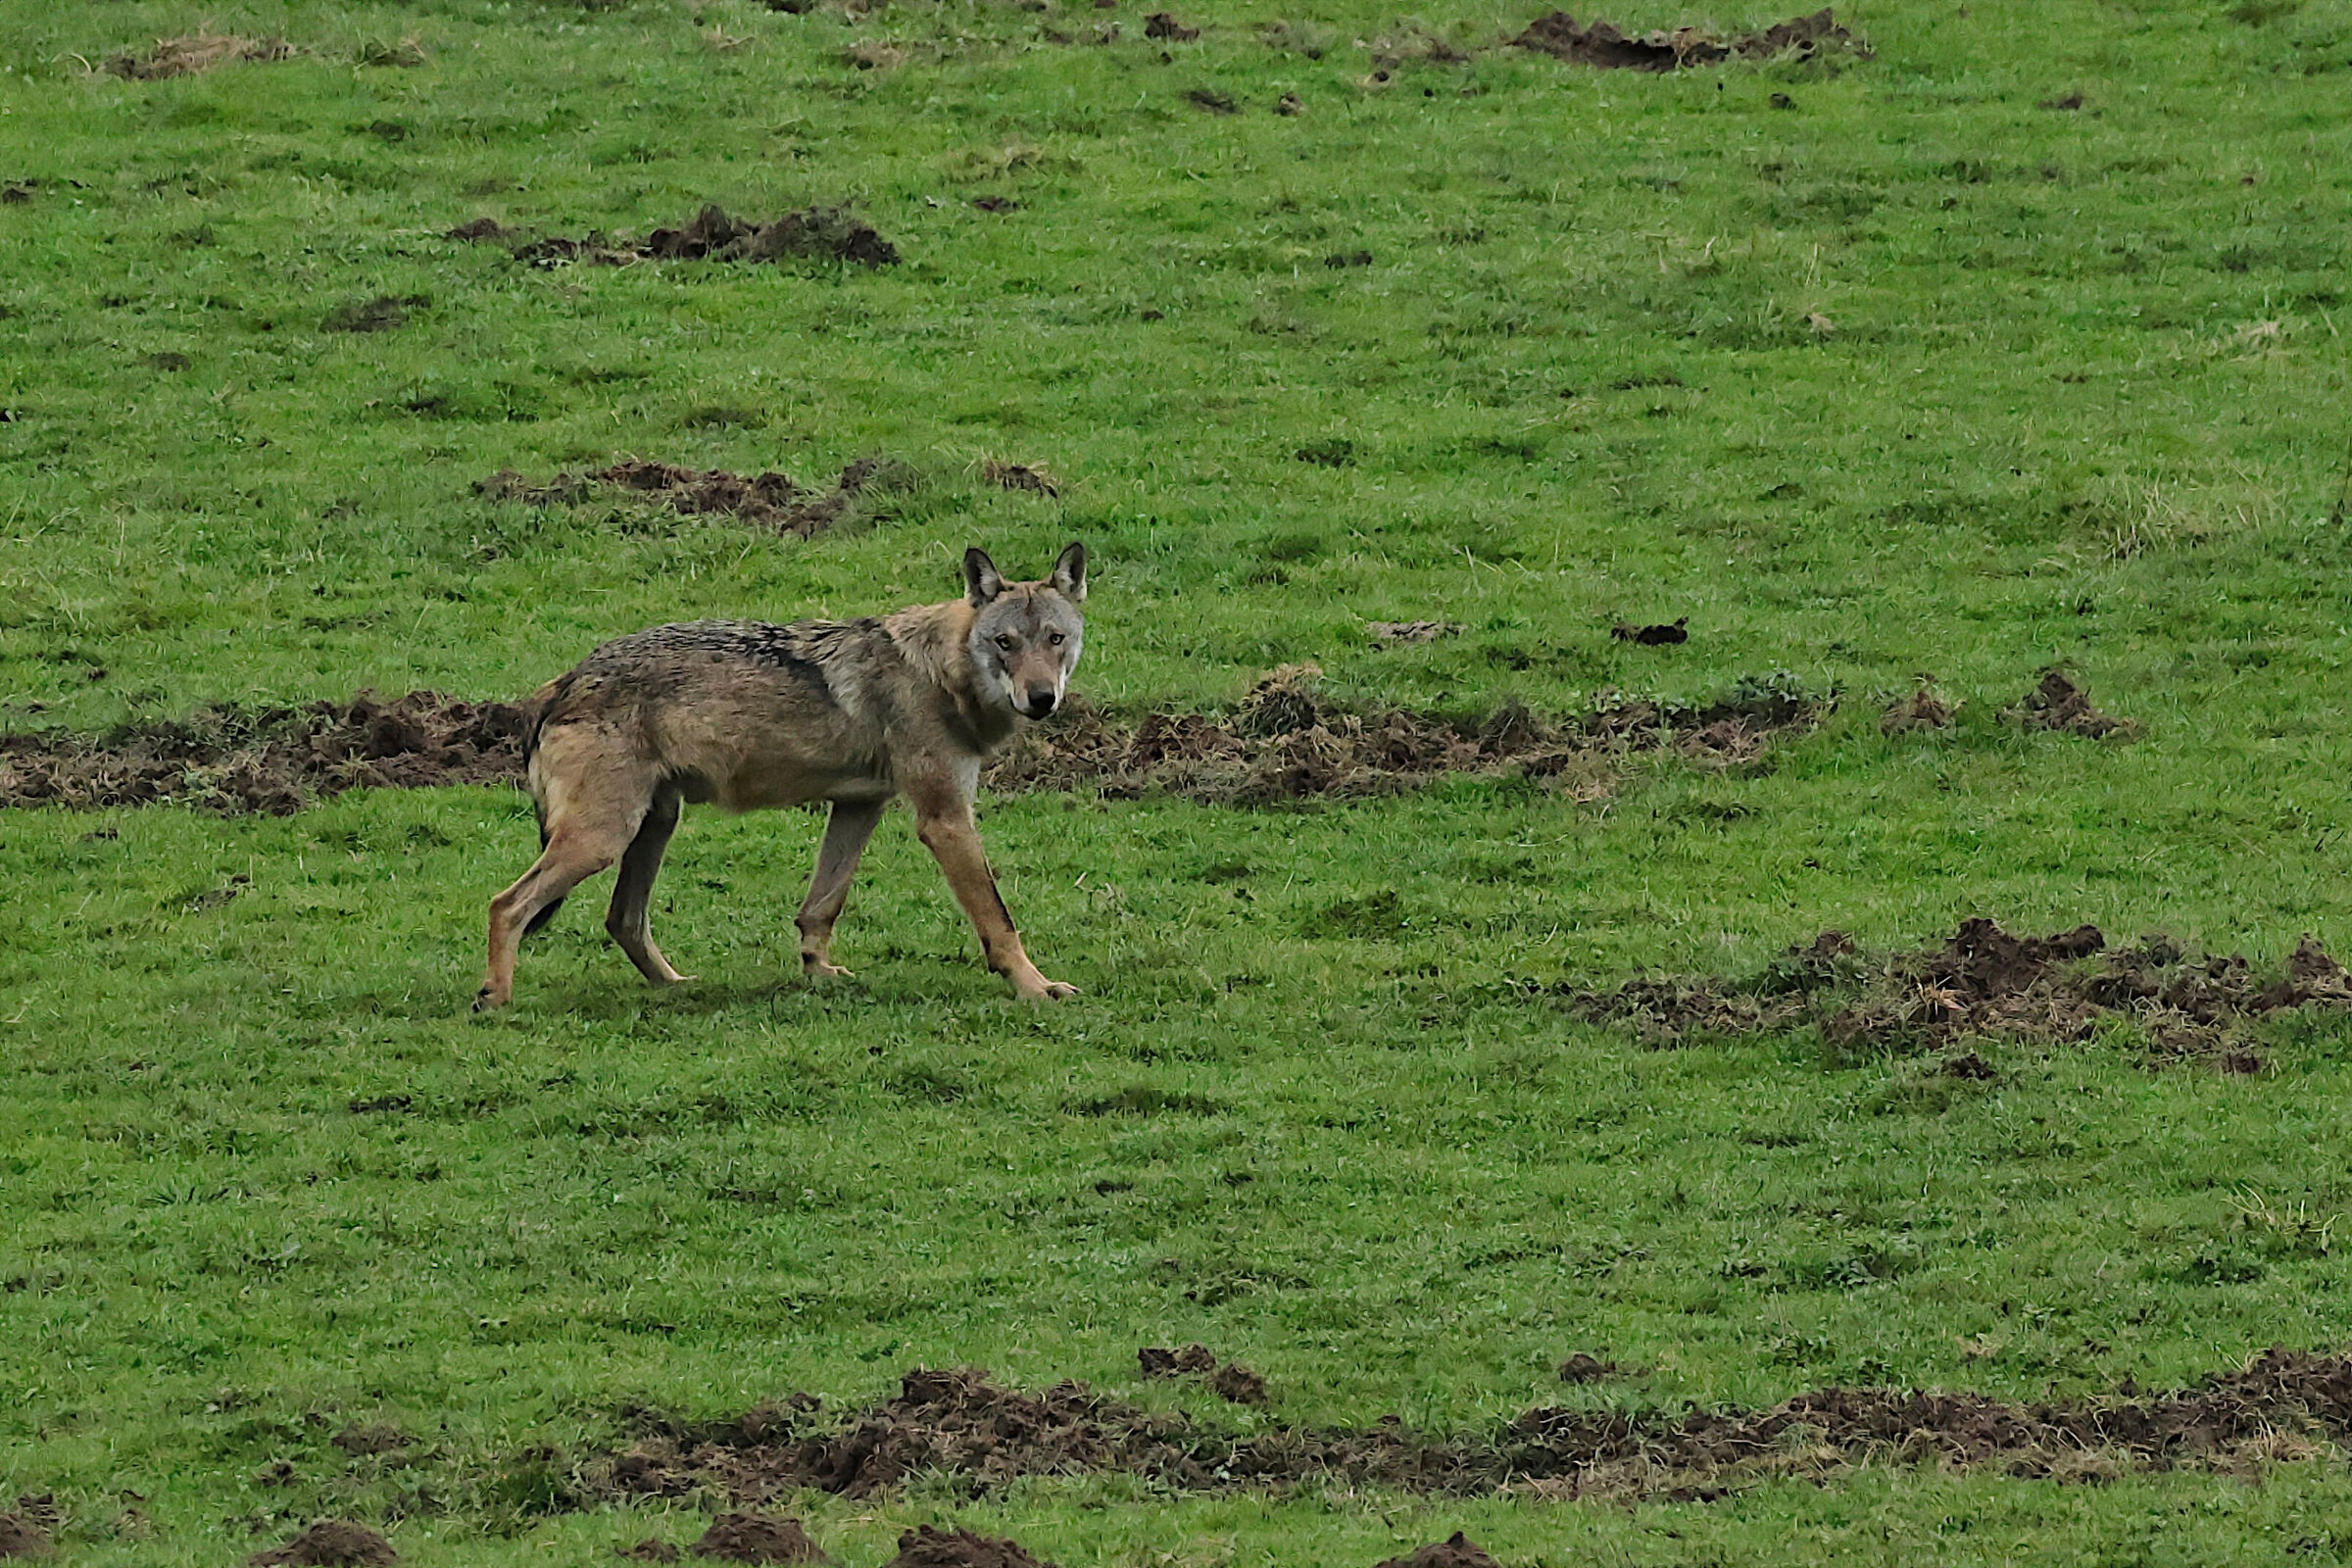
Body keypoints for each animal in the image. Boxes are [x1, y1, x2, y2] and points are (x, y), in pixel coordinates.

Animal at [475, 543, 1086, 1009]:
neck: (942, 671)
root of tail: (563, 682)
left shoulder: (860, 805)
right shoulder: (945, 819)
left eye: (1055, 640)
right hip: (602, 839)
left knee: (622, 920)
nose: (1041, 699)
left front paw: (818, 974)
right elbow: (999, 920)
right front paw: (1037, 988)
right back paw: (496, 1000)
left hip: (654, 825)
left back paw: (676, 987)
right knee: (506, 905)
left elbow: (821, 906)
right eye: (1005, 643)